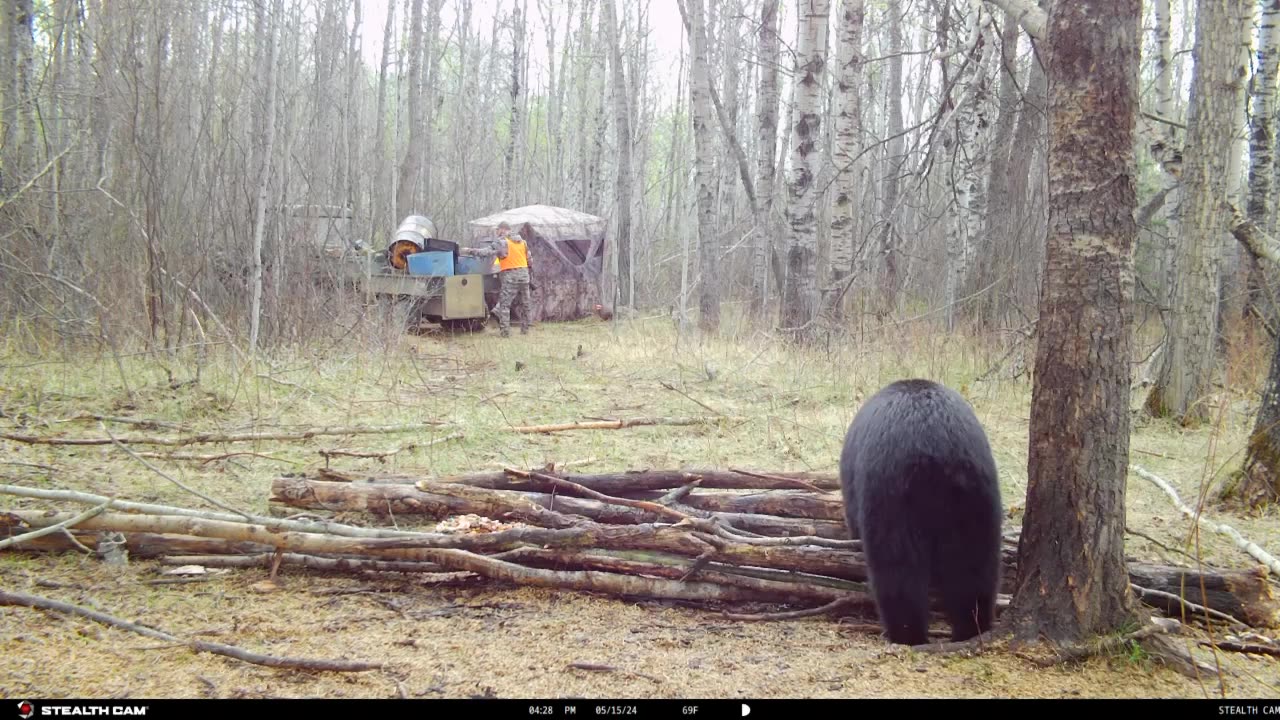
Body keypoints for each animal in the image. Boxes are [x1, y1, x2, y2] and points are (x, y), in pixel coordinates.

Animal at [839, 376, 1008, 645]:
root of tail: (933, 450)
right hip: (975, 492)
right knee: (975, 565)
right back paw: (971, 627)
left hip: (891, 494)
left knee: (896, 567)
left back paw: (906, 633)